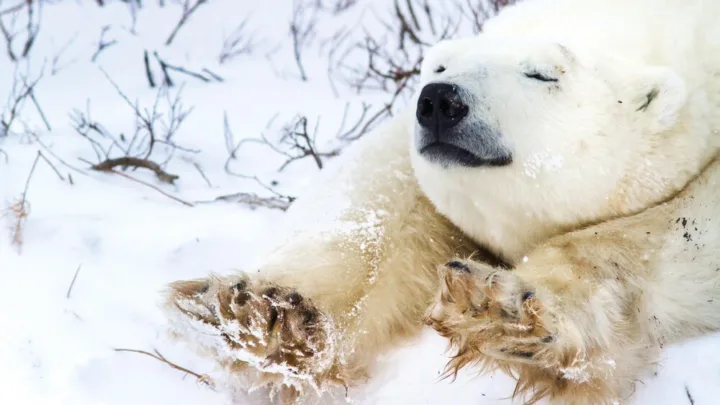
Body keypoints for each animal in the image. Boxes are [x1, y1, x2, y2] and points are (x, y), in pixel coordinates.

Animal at [163, 0, 720, 404]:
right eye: (440, 64)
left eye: (543, 74)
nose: (440, 100)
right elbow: (382, 191)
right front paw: (265, 312)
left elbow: (678, 234)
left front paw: (503, 307)